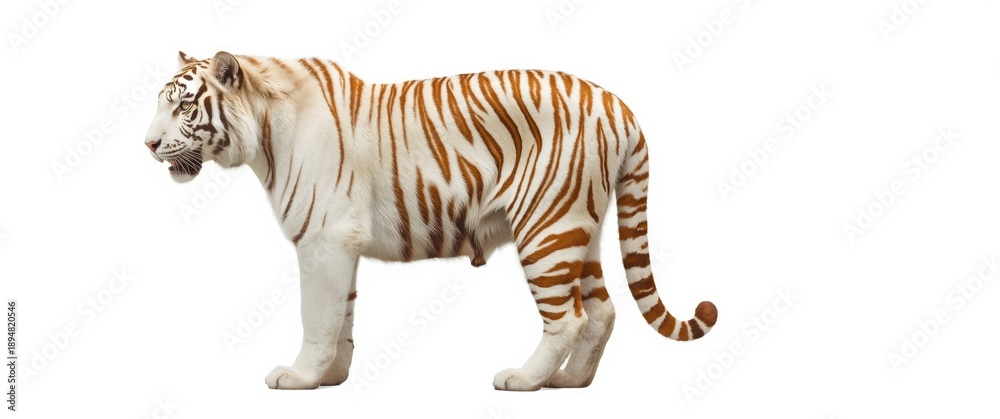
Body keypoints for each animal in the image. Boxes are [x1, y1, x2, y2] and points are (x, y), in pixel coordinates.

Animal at [144, 51, 718, 391]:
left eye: (184, 107)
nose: (147, 144)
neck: (263, 135)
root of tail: (619, 105)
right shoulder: (340, 245)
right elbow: (342, 316)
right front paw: (333, 376)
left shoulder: (323, 240)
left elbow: (316, 316)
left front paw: (299, 377)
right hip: (582, 229)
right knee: (602, 311)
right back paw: (569, 382)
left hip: (546, 229)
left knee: (569, 318)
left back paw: (523, 380)